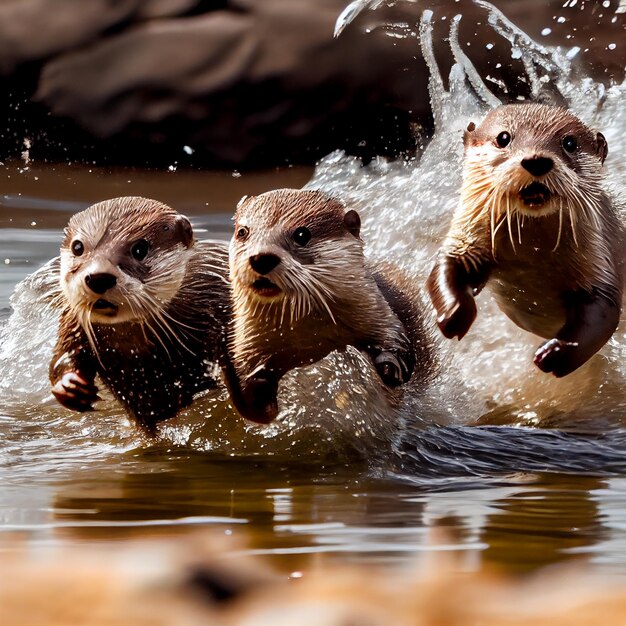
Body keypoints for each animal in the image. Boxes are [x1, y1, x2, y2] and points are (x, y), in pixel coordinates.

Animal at [48, 197, 229, 432]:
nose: (99, 277)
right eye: (78, 247)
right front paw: (69, 385)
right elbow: (63, 354)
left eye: (140, 249)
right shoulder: (72, 324)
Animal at [225, 188, 434, 422]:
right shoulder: (248, 343)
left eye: (302, 234)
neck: (310, 340)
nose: (261, 257)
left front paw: (391, 366)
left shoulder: (381, 316)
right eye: (242, 232)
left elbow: (397, 350)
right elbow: (256, 408)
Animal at [424, 103, 620, 376]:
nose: (536, 160)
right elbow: (449, 265)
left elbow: (605, 308)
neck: (533, 255)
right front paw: (454, 312)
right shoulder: (470, 237)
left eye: (570, 143)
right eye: (503, 138)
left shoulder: (597, 257)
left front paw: (555, 352)